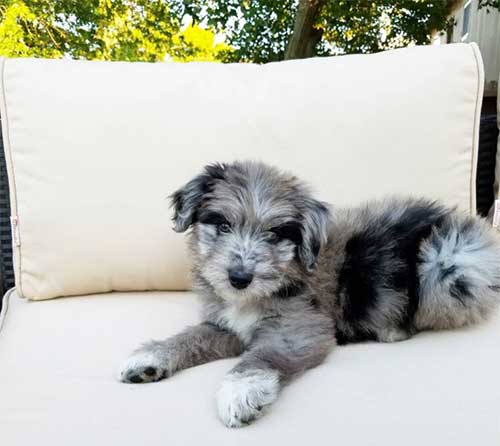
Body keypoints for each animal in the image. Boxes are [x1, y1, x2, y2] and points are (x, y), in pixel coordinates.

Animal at [119, 162, 500, 426]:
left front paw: (240, 391)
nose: (239, 278)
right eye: (223, 226)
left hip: (450, 259)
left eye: (274, 235)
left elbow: (261, 357)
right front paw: (150, 358)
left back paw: (392, 330)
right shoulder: (227, 327)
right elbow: (191, 336)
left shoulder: (298, 331)